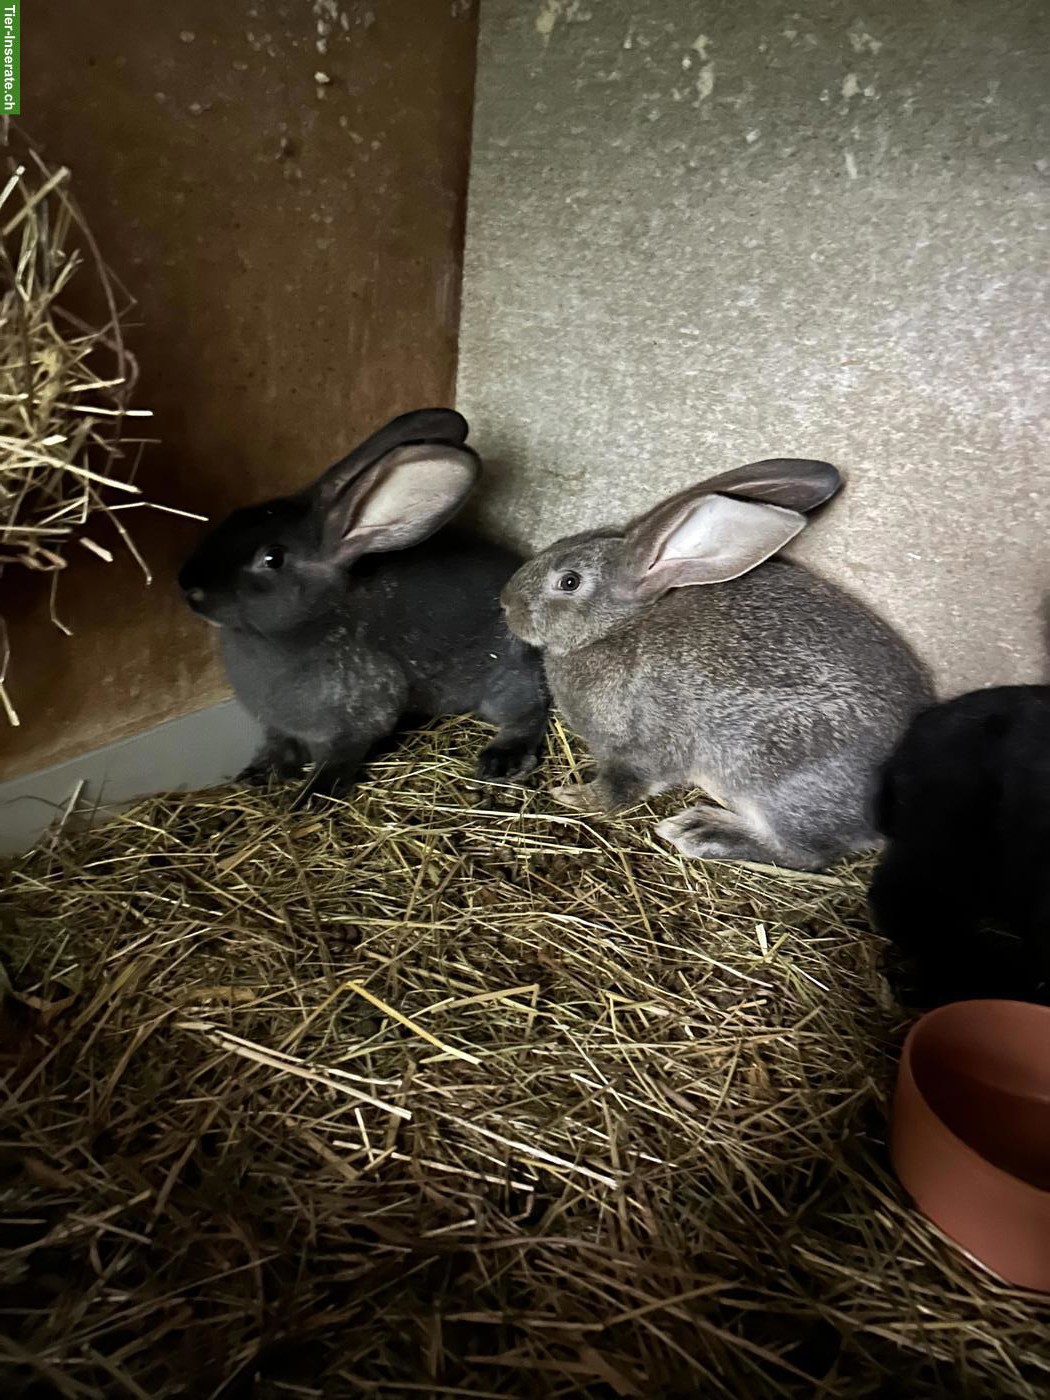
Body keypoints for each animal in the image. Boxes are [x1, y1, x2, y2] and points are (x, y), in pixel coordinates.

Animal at [178, 408, 549, 798]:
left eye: (273, 558)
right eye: (235, 514)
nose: (190, 588)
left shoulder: (355, 722)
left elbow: (339, 758)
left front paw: (311, 797)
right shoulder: (277, 727)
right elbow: (277, 746)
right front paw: (257, 773)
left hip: (504, 678)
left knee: (528, 709)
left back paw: (501, 758)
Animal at [500, 459, 933, 871]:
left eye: (569, 582)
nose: (505, 602)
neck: (616, 627)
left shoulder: (634, 749)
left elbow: (620, 789)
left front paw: (573, 795)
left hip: (775, 782)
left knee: (808, 853)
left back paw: (701, 830)